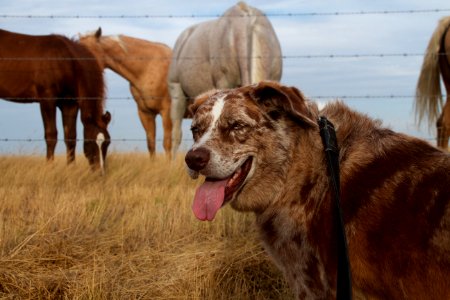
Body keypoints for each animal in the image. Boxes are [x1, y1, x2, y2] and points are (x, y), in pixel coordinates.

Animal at [0, 29, 111, 172]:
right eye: (90, 141)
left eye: (108, 142)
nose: (100, 172)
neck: (66, 61)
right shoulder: (47, 100)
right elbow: (51, 135)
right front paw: (49, 167)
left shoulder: (69, 104)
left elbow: (70, 137)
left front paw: (71, 168)